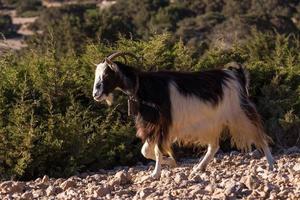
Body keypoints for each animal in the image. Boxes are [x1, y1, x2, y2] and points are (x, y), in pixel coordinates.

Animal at [92, 51, 276, 178]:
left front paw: (155, 174)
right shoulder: (152, 127)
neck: (144, 87)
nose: (96, 94)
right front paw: (171, 162)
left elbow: (157, 151)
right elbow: (146, 152)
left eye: (107, 74)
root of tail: (234, 74)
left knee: (260, 136)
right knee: (214, 146)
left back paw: (272, 165)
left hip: (240, 114)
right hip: (213, 122)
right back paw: (199, 167)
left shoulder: (161, 125)